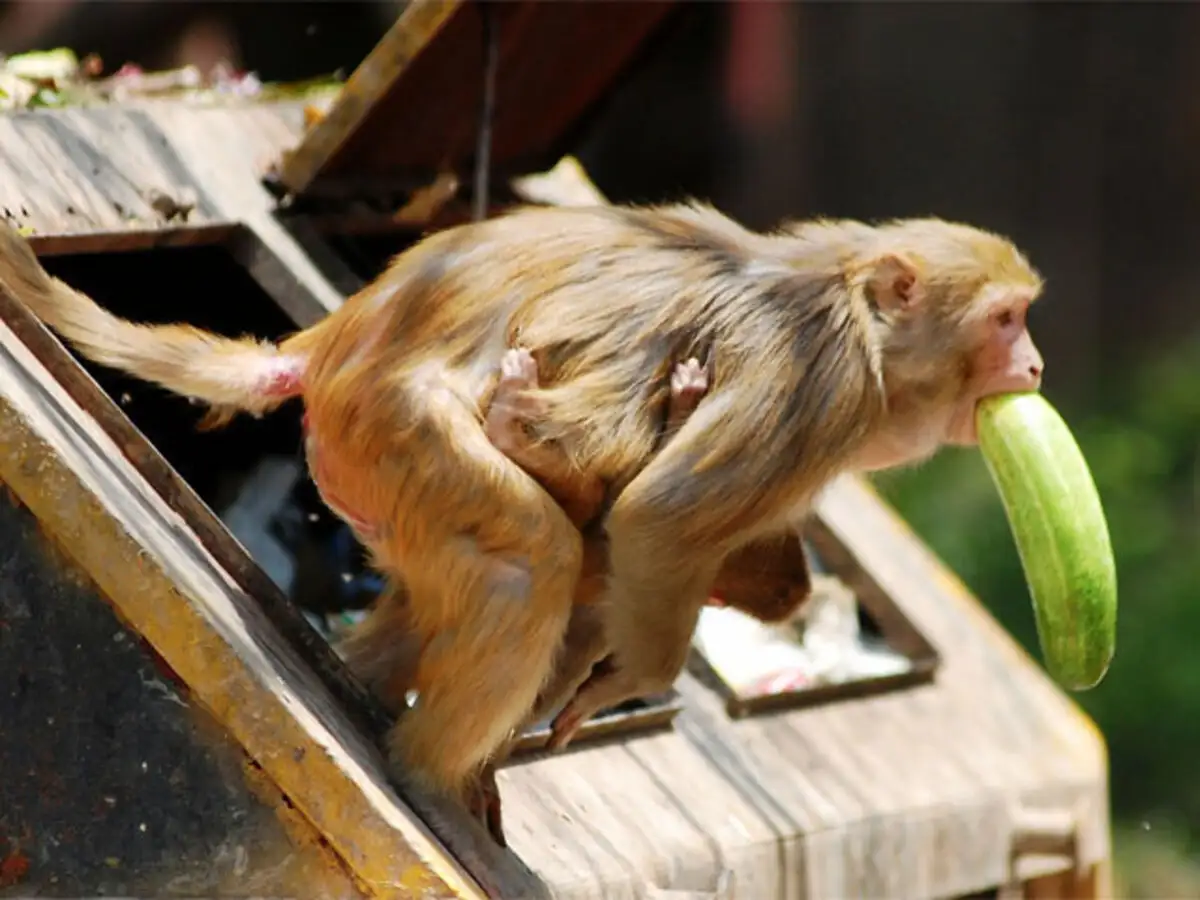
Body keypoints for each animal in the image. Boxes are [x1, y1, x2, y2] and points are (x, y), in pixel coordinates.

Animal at [0, 204, 1044, 839]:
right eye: (1005, 321)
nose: (1035, 367)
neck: (854, 309)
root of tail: (331, 343)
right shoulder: (818, 387)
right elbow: (663, 522)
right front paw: (634, 676)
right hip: (397, 432)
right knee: (537, 559)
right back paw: (428, 774)